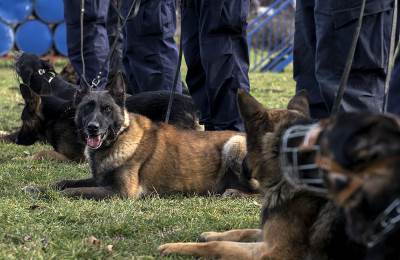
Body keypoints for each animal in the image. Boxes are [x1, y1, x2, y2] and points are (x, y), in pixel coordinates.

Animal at [16, 80, 202, 162]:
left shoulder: (76, 157)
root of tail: (191, 103)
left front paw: (23, 159)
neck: (58, 116)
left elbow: (42, 153)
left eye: (23, 120)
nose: (16, 140)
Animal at [52, 72, 253, 200]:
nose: (92, 128)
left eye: (107, 109)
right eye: (87, 107)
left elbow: (76, 191)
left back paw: (235, 193)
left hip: (234, 145)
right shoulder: (99, 180)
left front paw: (55, 195)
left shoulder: (121, 192)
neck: (120, 137)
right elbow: (65, 183)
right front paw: (48, 187)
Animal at [157, 90, 366, 258]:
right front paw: (211, 234)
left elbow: (220, 246)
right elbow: (243, 231)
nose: (243, 166)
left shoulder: (274, 252)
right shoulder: (266, 235)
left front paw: (175, 247)